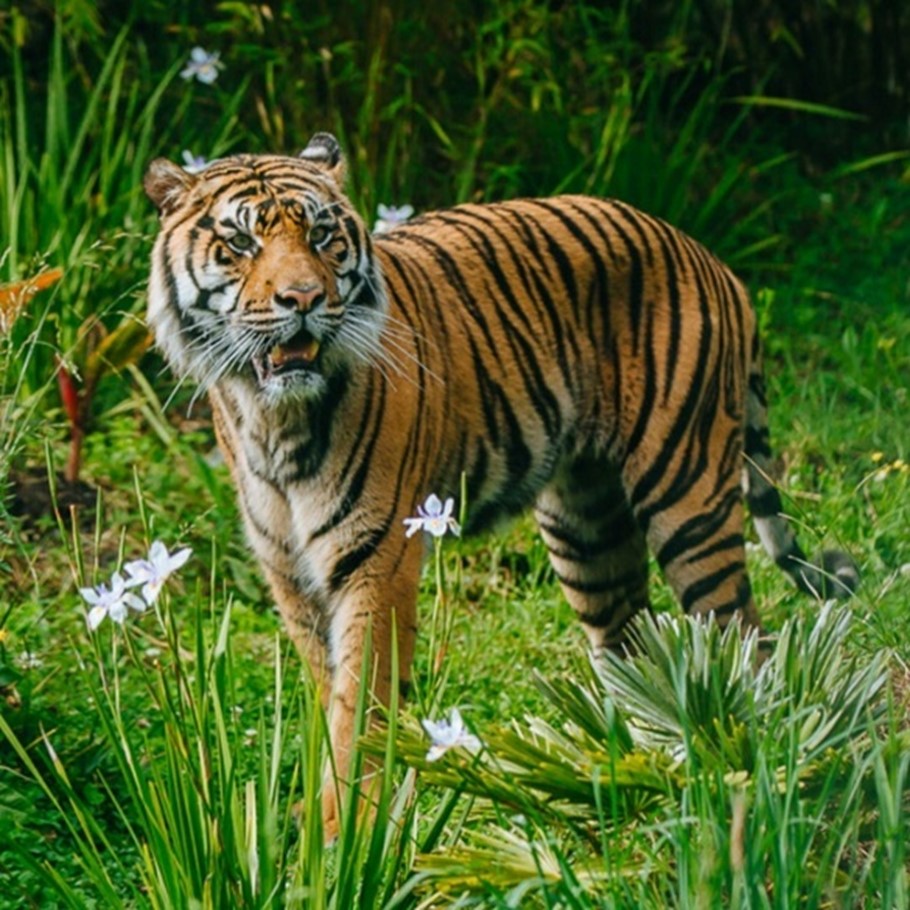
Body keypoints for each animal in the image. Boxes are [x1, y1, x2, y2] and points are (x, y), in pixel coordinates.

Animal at [144, 132, 864, 836]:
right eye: (241, 243)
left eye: (322, 235)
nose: (303, 300)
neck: (274, 418)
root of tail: (710, 257)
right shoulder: (291, 576)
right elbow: (330, 696)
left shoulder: (376, 562)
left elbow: (362, 711)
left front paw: (346, 833)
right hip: (587, 531)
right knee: (635, 646)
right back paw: (634, 777)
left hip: (687, 496)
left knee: (743, 637)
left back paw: (747, 769)